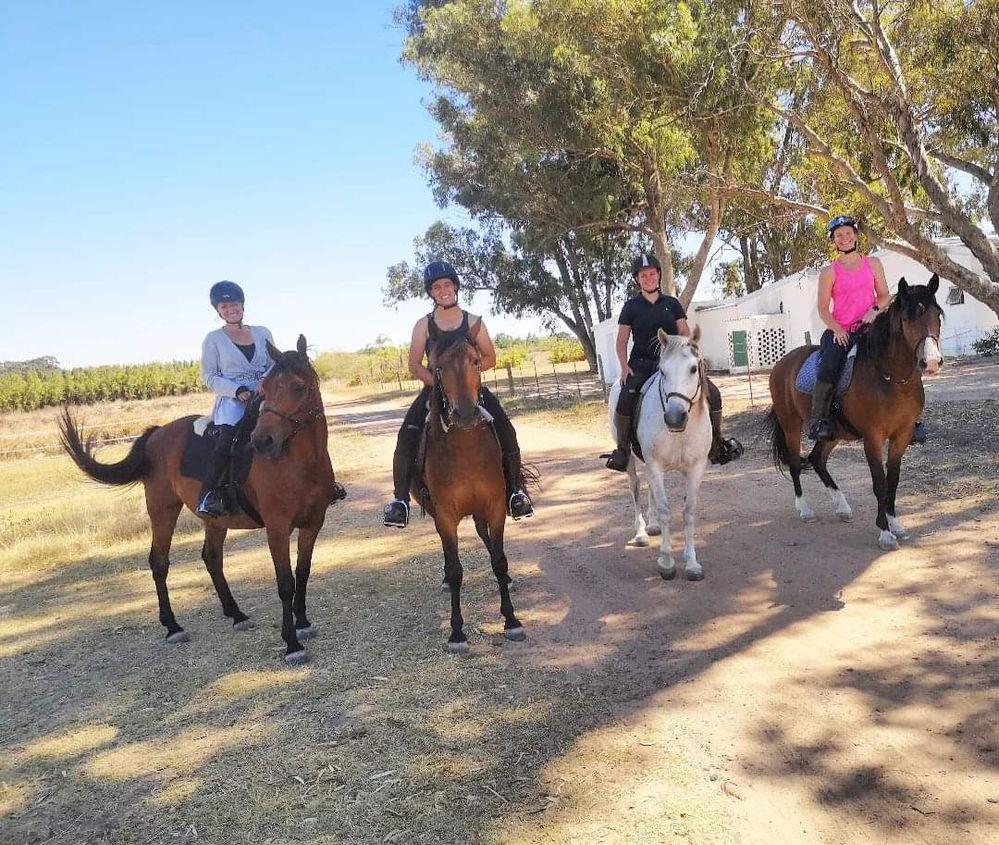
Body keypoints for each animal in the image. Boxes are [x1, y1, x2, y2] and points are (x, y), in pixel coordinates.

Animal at [60, 334, 340, 660]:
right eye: (266, 387)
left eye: (297, 387)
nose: (262, 441)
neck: (299, 463)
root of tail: (157, 433)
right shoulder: (277, 528)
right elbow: (285, 582)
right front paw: (292, 643)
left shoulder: (313, 522)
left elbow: (303, 572)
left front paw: (303, 622)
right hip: (163, 509)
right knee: (159, 561)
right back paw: (173, 626)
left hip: (214, 519)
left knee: (211, 557)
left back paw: (236, 614)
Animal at [416, 320, 532, 656]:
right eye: (438, 366)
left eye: (477, 361)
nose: (466, 415)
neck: (466, 450)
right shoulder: (445, 516)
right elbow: (456, 570)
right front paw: (457, 633)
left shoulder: (494, 508)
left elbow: (499, 560)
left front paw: (512, 620)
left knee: (486, 538)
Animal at [604, 326, 716, 576]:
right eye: (662, 371)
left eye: (693, 368)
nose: (674, 418)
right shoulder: (655, 464)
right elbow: (666, 510)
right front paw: (666, 561)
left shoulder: (696, 468)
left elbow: (689, 512)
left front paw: (692, 562)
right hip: (630, 458)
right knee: (635, 487)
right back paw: (641, 533)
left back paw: (653, 525)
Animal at [764, 276, 944, 548]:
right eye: (906, 319)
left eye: (937, 315)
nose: (931, 362)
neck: (891, 378)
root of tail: (783, 363)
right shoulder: (873, 438)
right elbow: (879, 483)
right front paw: (885, 532)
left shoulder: (901, 436)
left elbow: (893, 480)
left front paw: (895, 523)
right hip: (791, 425)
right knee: (795, 463)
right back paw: (805, 509)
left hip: (833, 433)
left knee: (817, 460)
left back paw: (842, 506)